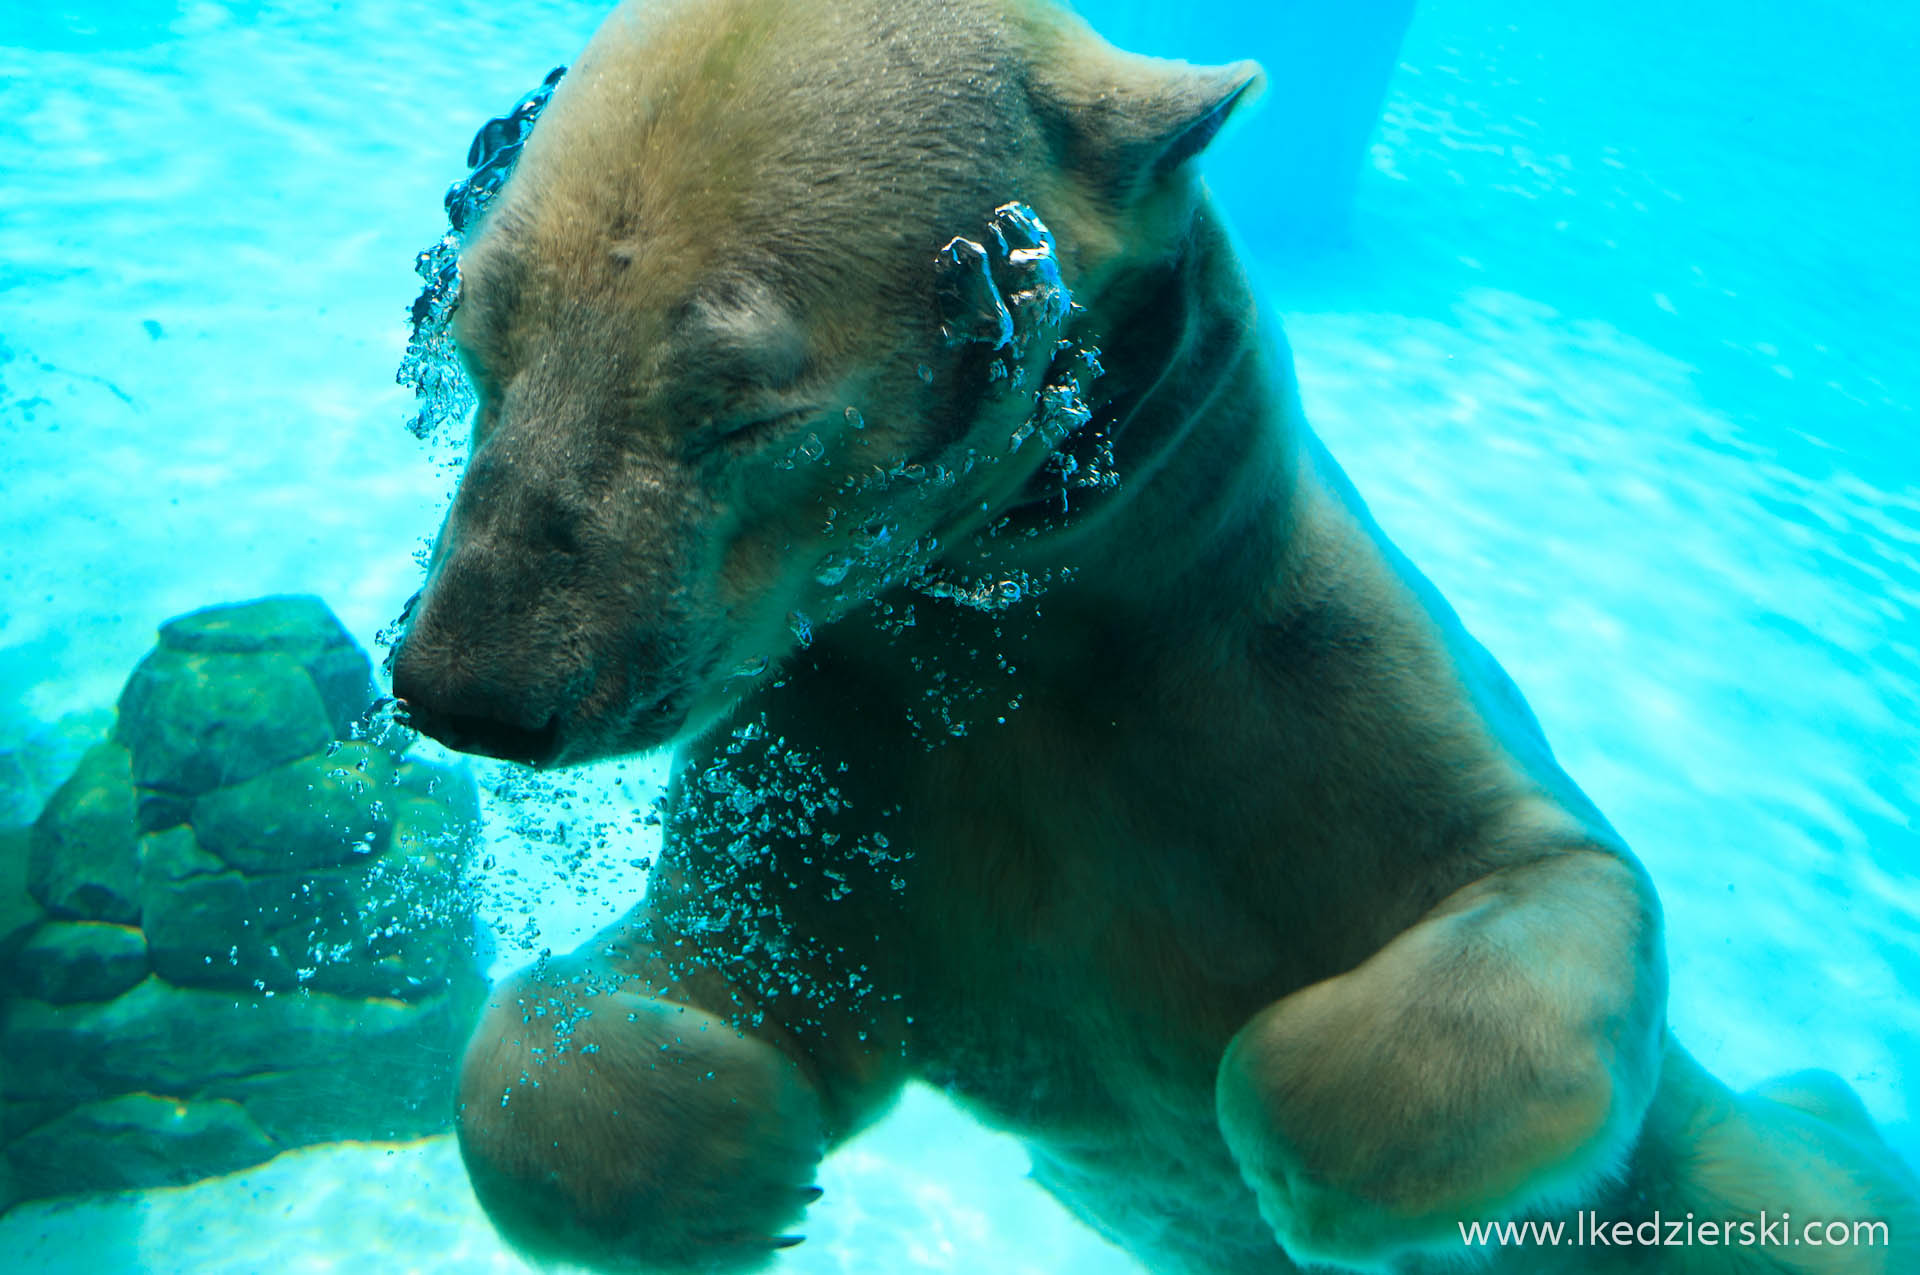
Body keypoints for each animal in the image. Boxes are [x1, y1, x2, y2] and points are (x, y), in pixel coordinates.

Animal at [382, 2, 1912, 1275]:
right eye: (473, 342)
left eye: (745, 408)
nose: (468, 689)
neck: (1048, 624)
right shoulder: (842, 764)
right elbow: (702, 985)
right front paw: (735, 1171)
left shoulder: (1294, 655)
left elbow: (1553, 873)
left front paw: (1308, 1184)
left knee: (1800, 1180)